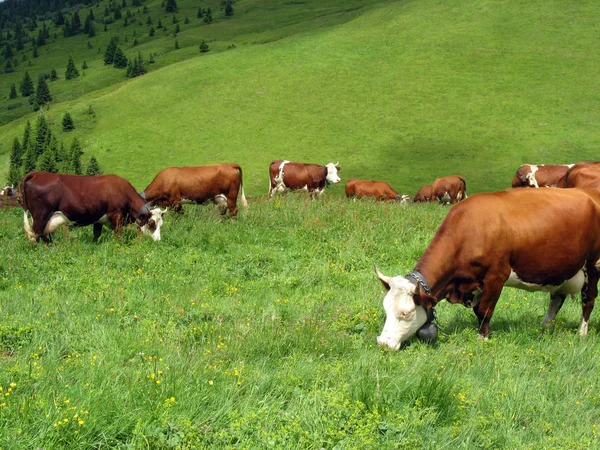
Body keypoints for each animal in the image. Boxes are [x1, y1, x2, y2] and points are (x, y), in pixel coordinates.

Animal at [20, 171, 165, 243]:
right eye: (152, 224)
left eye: (161, 224)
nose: (158, 241)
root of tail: (37, 173)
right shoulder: (116, 216)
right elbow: (119, 235)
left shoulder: (98, 219)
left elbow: (96, 234)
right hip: (41, 216)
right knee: (36, 234)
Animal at [372, 188, 600, 350]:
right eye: (385, 308)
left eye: (406, 312)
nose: (382, 343)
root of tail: (590, 194)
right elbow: (477, 310)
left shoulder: (496, 276)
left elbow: (484, 310)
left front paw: (482, 339)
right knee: (556, 299)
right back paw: (544, 328)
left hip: (593, 265)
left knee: (588, 300)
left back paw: (581, 333)